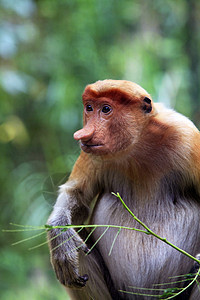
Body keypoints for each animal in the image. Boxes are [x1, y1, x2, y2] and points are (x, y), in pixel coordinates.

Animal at [47, 80, 200, 300]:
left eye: (106, 109)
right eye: (89, 108)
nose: (82, 134)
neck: (138, 144)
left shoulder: (187, 137)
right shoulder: (91, 152)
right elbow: (76, 194)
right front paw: (60, 237)